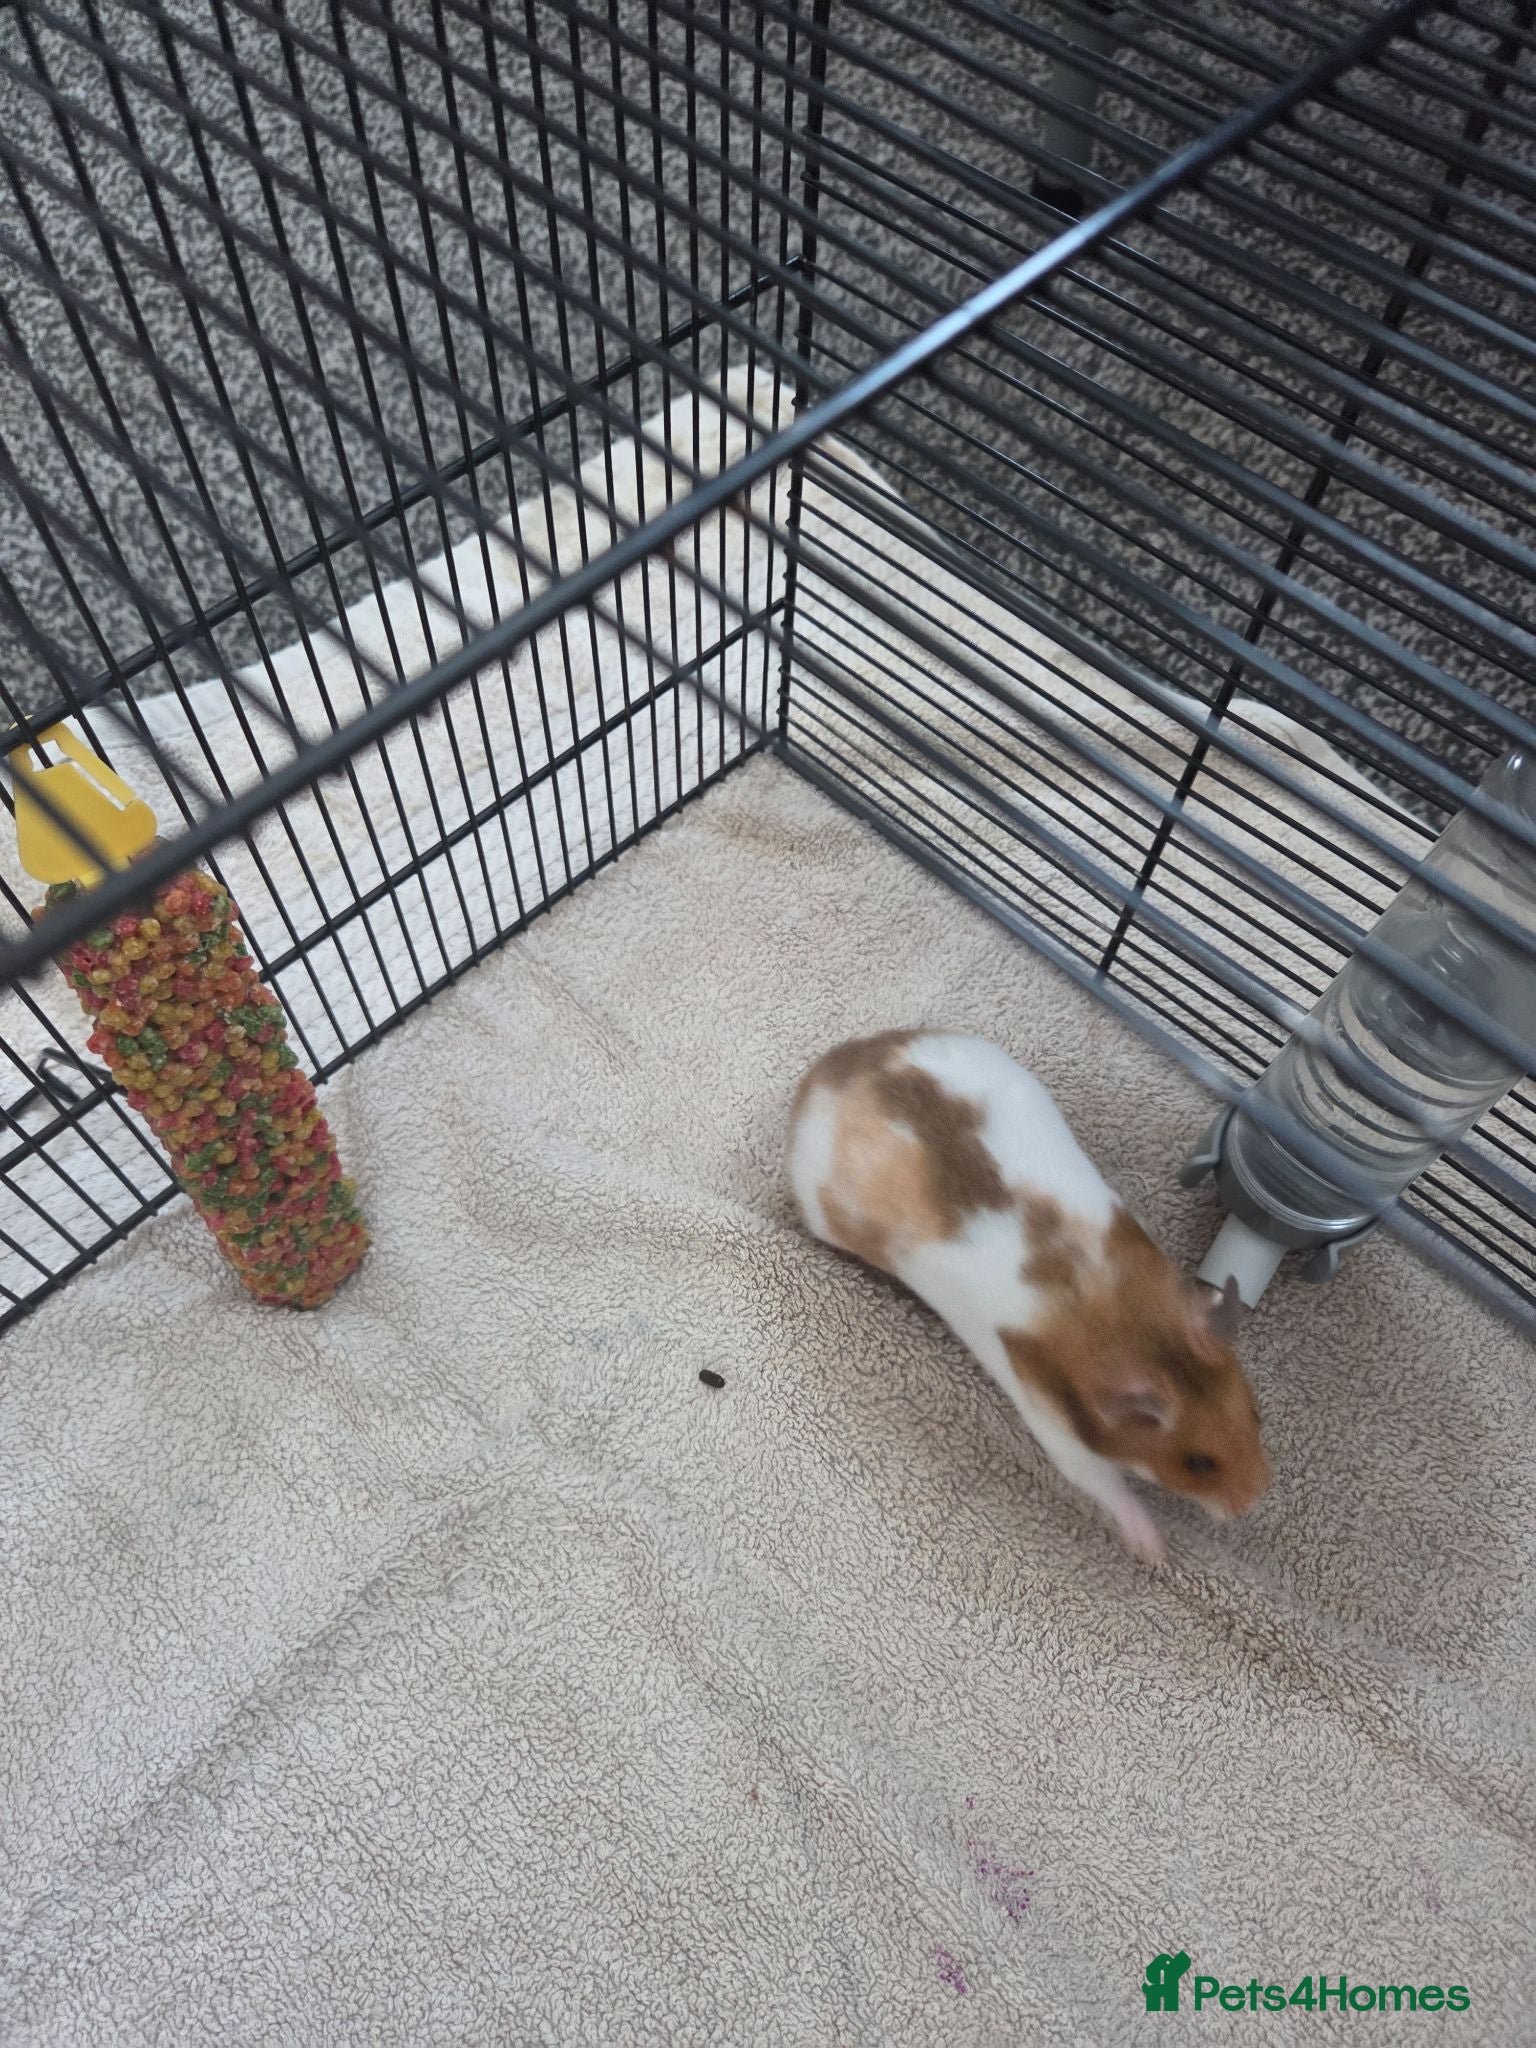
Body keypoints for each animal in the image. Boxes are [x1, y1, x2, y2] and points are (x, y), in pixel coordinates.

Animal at [787, 1030, 1271, 1563]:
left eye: (1255, 1414)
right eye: (1198, 1463)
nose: (1256, 1498)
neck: (1134, 1328)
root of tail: (824, 1071)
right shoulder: (1056, 1431)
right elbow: (1104, 1485)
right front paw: (1155, 1552)